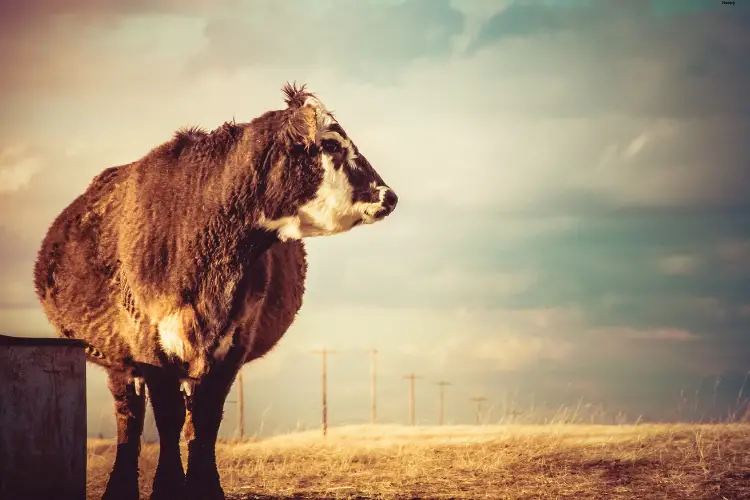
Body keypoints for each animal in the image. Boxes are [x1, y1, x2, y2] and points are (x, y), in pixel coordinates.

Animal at [33, 83, 400, 500]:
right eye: (333, 144)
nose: (389, 196)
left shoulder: (233, 344)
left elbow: (205, 421)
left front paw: (204, 488)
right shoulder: (148, 343)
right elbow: (169, 418)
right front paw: (168, 488)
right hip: (118, 359)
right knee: (129, 418)